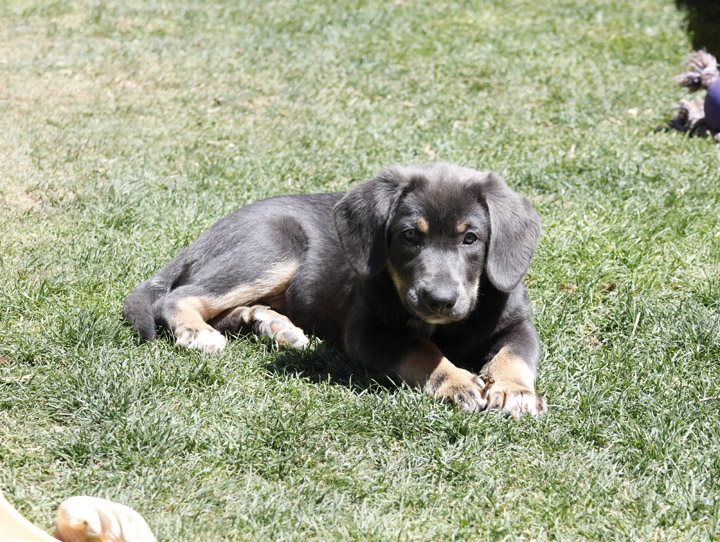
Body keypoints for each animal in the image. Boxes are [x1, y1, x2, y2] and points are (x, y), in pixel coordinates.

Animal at [124, 164, 544, 418]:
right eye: (409, 235)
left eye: (470, 238)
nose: (439, 300)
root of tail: (206, 234)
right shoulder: (366, 332)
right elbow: (421, 348)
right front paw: (456, 381)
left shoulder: (518, 324)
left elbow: (514, 357)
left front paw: (514, 391)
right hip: (276, 246)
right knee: (180, 296)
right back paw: (198, 332)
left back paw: (273, 325)